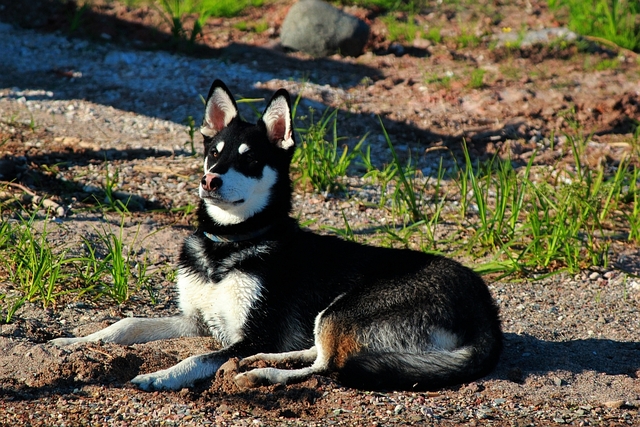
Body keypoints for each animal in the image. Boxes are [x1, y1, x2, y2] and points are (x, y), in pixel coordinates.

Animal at [52, 79, 502, 392]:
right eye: (213, 153)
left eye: (250, 160)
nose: (209, 180)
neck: (229, 243)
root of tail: (487, 315)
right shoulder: (197, 320)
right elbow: (127, 324)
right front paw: (76, 341)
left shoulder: (246, 331)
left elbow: (200, 358)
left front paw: (162, 375)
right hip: (329, 318)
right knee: (314, 351)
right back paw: (264, 360)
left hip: (342, 310)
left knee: (328, 366)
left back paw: (262, 373)